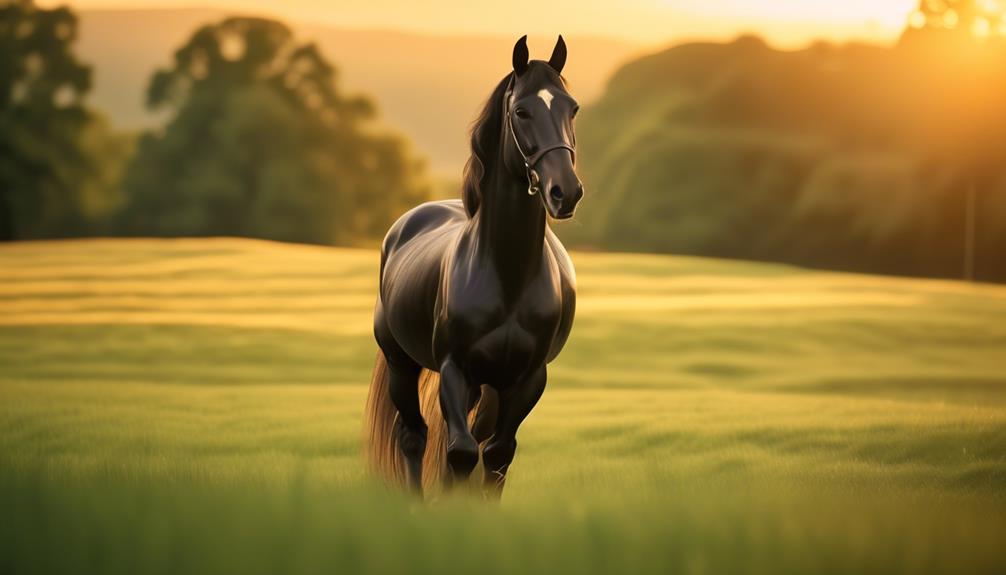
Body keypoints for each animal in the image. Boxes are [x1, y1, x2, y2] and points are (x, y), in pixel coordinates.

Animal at [364, 34, 583, 498]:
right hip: (401, 363)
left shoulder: (527, 378)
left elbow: (496, 455)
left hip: (489, 387)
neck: (508, 275)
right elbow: (460, 453)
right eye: (521, 111)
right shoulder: (455, 369)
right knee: (415, 436)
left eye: (571, 108)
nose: (566, 192)